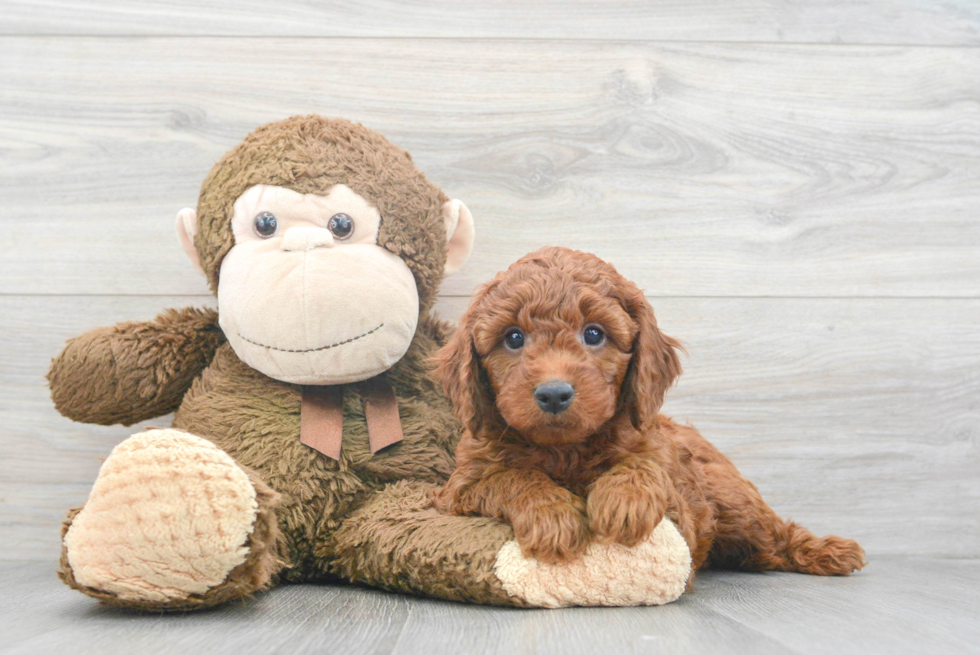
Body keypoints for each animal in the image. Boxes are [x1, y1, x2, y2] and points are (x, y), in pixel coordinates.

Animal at [432, 247, 860, 580]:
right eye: (514, 338)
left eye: (593, 333)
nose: (554, 394)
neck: (565, 449)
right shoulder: (461, 485)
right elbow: (510, 477)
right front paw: (551, 517)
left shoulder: (672, 483)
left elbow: (646, 465)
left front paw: (624, 502)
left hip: (736, 503)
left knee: (777, 535)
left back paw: (831, 551)